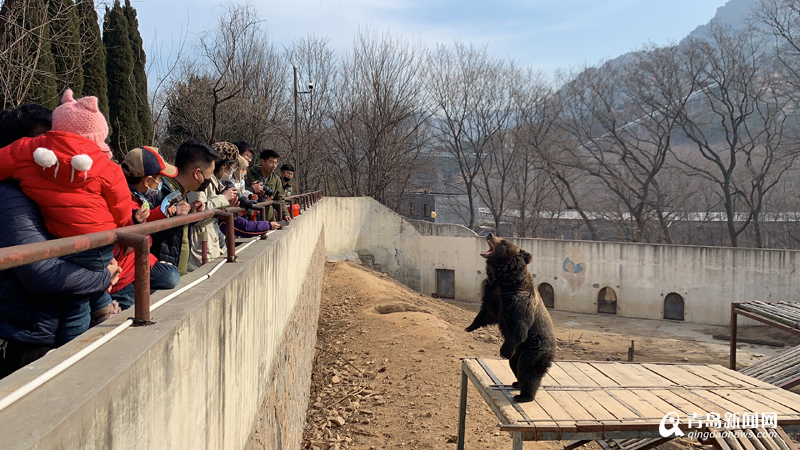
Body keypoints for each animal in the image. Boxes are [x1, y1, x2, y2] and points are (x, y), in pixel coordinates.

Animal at [462, 234, 556, 402]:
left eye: (504, 241)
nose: (490, 234)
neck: (505, 279)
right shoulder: (493, 294)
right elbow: (485, 313)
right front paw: (469, 327)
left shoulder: (518, 300)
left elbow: (519, 325)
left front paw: (503, 351)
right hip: (518, 352)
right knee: (515, 365)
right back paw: (516, 383)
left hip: (534, 347)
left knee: (528, 369)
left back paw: (524, 395)